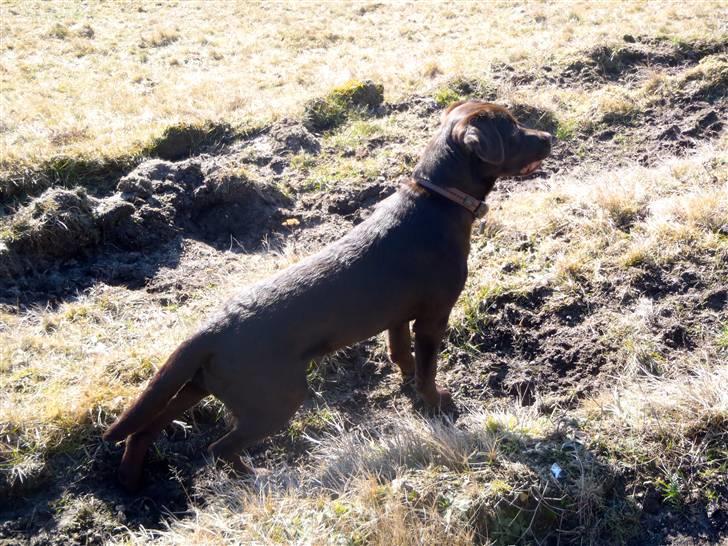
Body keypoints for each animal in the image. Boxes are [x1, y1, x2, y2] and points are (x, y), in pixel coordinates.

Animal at [104, 101, 552, 488]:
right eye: (513, 129)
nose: (548, 135)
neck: (439, 199)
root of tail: (209, 330)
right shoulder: (433, 315)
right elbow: (427, 367)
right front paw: (437, 403)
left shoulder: (396, 317)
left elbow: (401, 354)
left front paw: (407, 385)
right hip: (276, 398)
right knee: (220, 447)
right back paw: (255, 478)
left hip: (199, 384)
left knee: (142, 431)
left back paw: (130, 482)